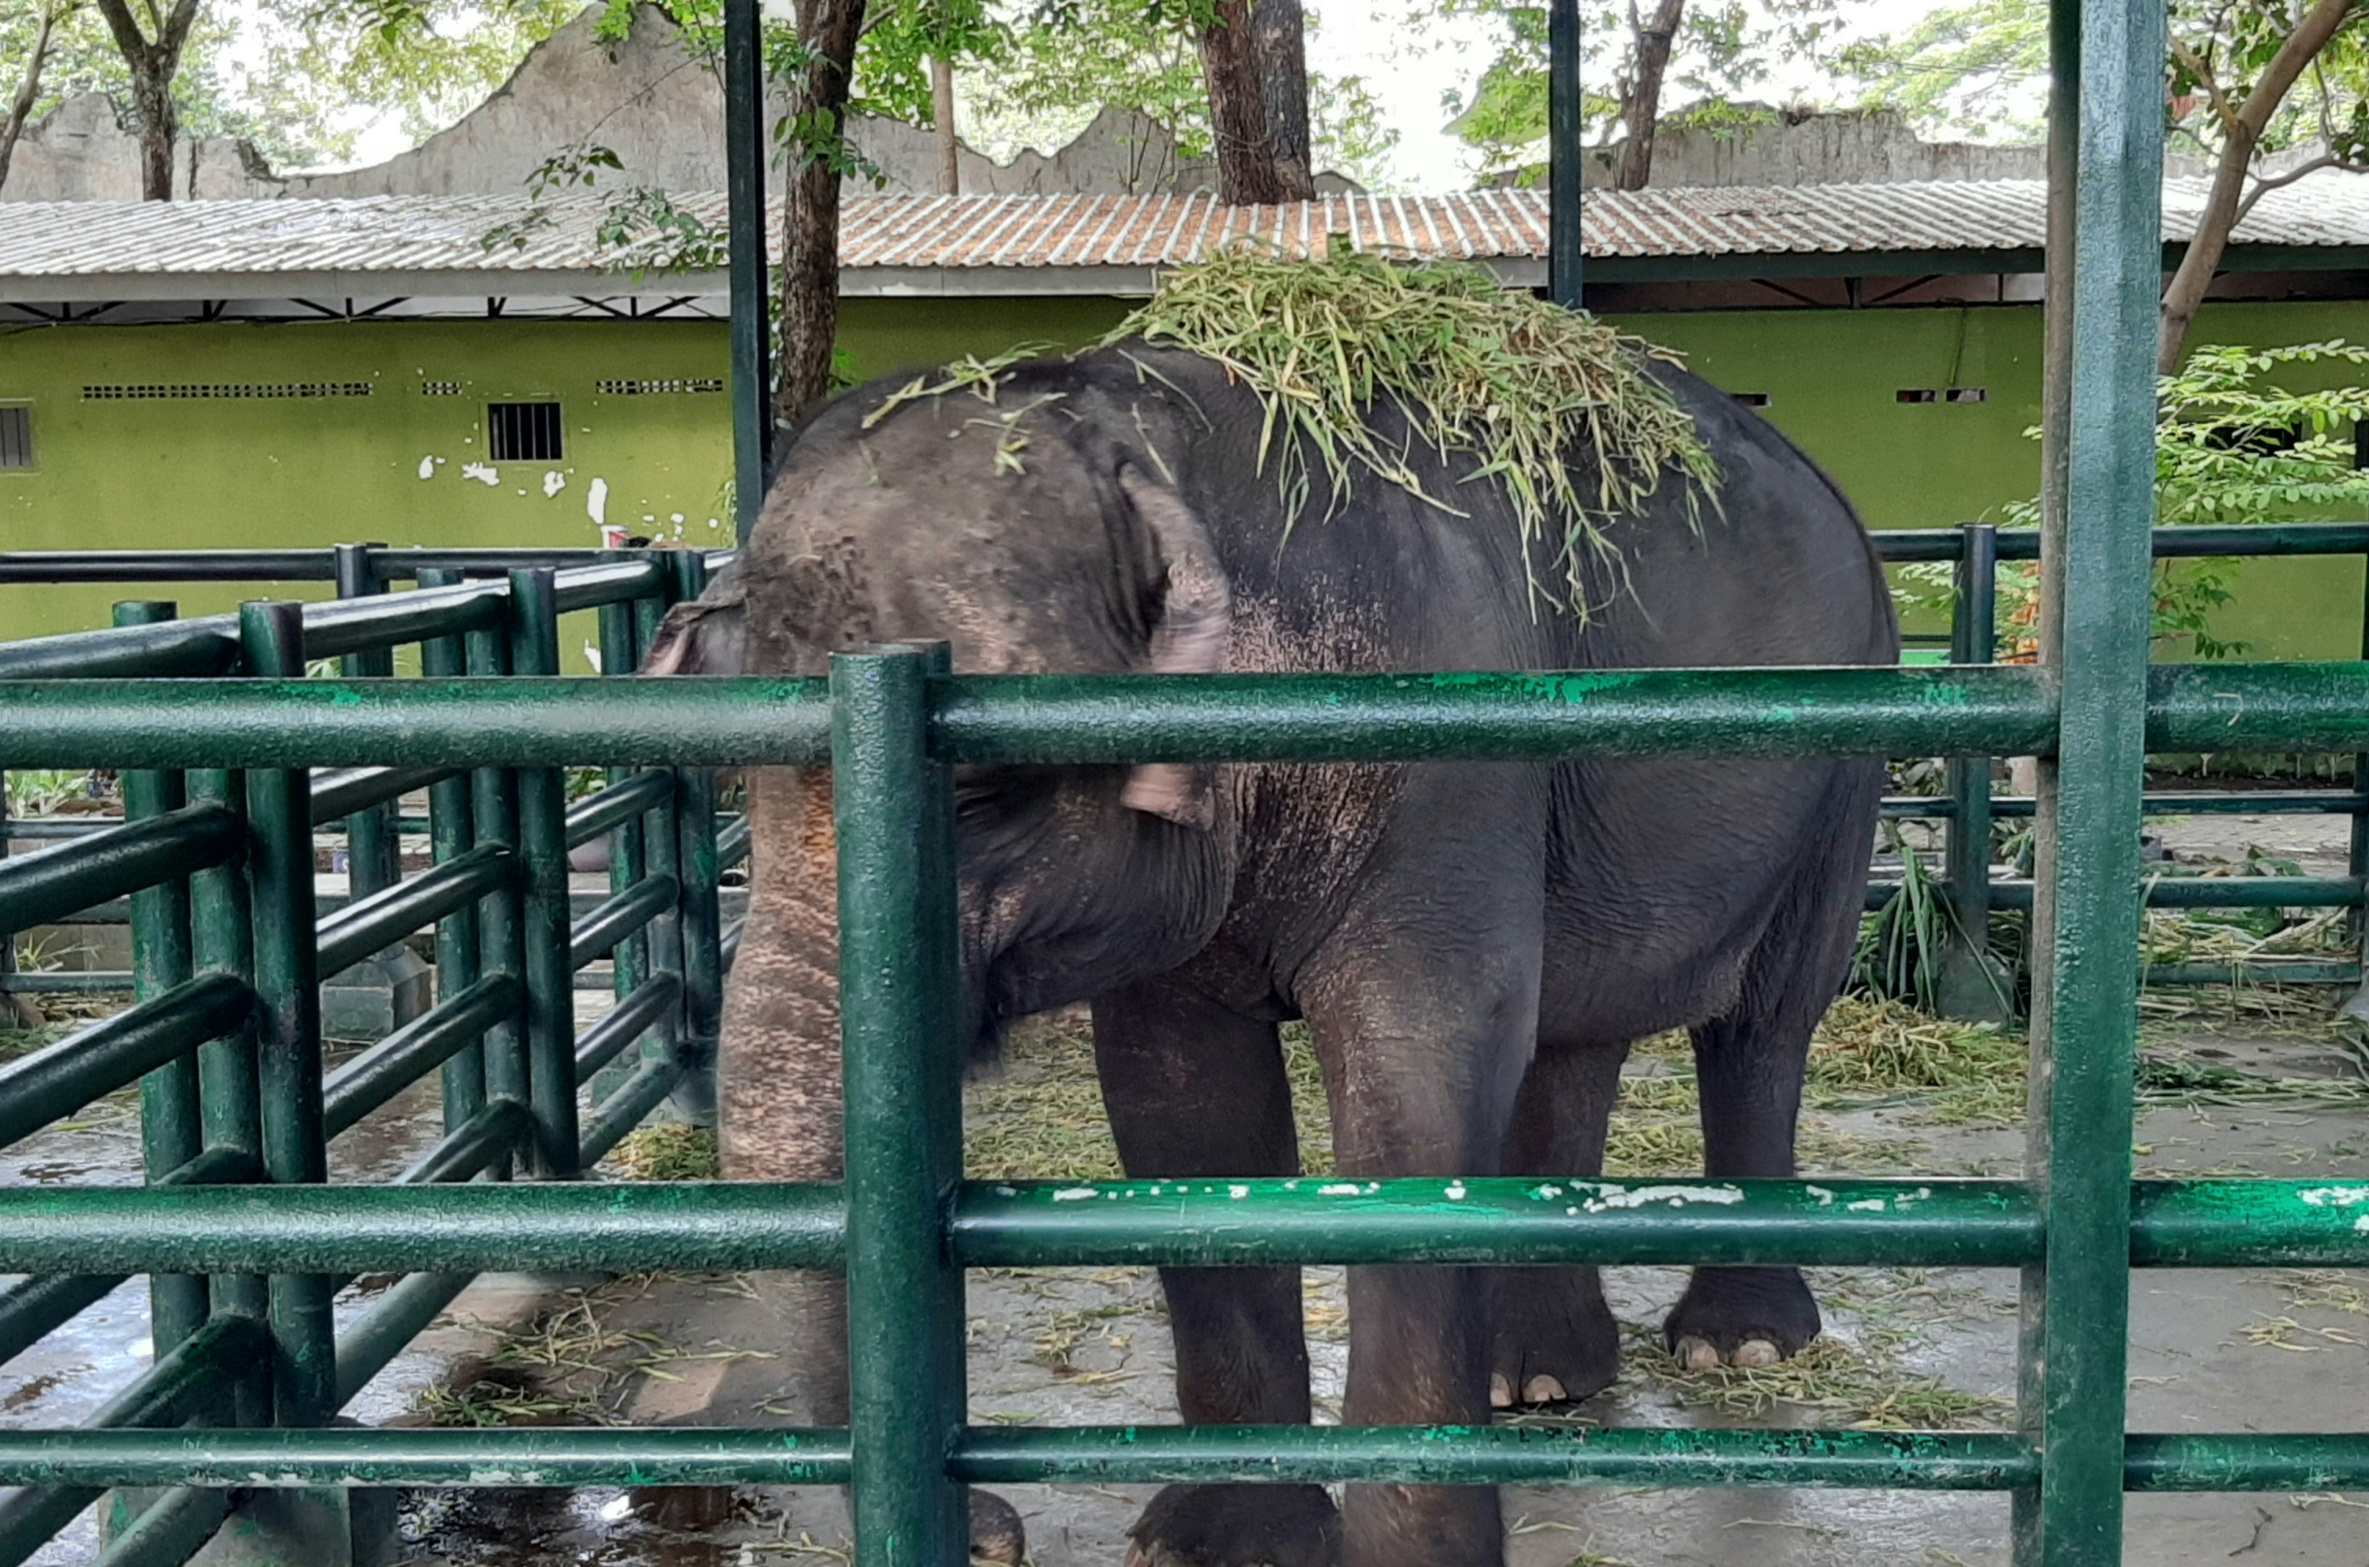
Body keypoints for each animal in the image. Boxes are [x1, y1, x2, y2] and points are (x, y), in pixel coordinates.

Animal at [639, 346, 1895, 1564]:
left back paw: (1736, 1347)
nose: (994, 1533)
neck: (1150, 431)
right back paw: (1534, 1375)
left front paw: (1410, 1554)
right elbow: (1182, 1107)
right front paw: (1221, 1544)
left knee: (1763, 1022)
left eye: (984, 793)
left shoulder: (1444, 757)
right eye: (733, 780)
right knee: (1575, 1034)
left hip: (1844, 761)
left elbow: (1419, 1080)